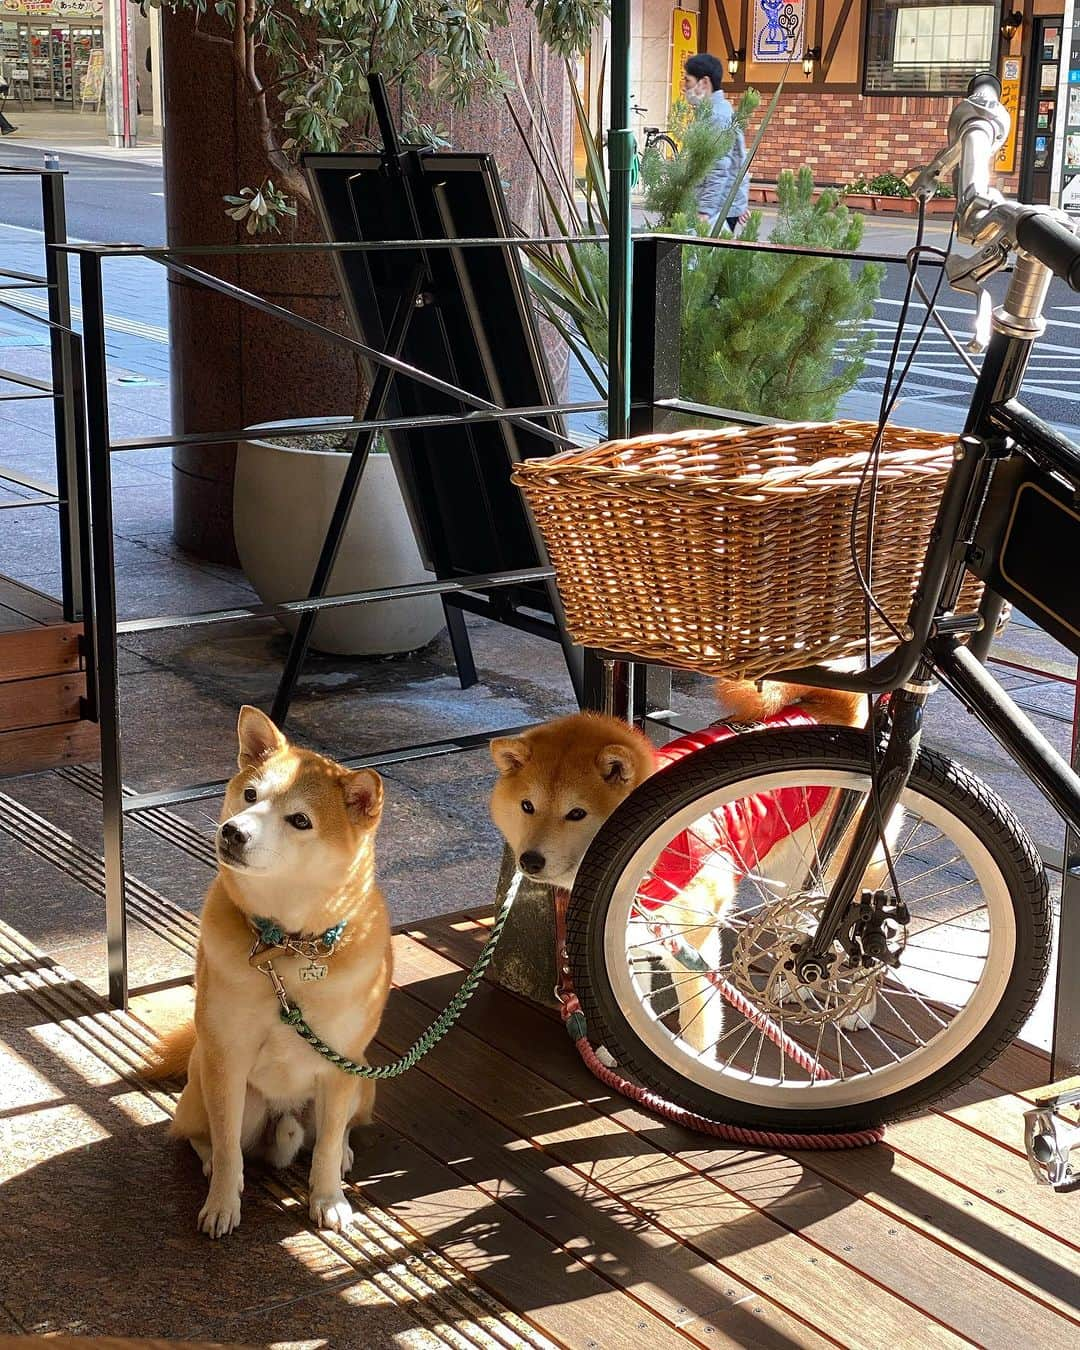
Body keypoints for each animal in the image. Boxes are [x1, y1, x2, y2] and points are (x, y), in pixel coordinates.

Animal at [149, 712, 391, 1236]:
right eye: (250, 794)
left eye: (300, 820)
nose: (232, 832)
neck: (287, 948)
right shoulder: (228, 1057)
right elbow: (226, 1148)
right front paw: (222, 1203)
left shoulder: (341, 1064)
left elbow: (324, 1150)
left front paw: (329, 1198)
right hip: (213, 1086)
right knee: (204, 1135)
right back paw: (211, 1163)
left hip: (362, 1082)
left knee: (332, 1133)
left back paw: (343, 1153)